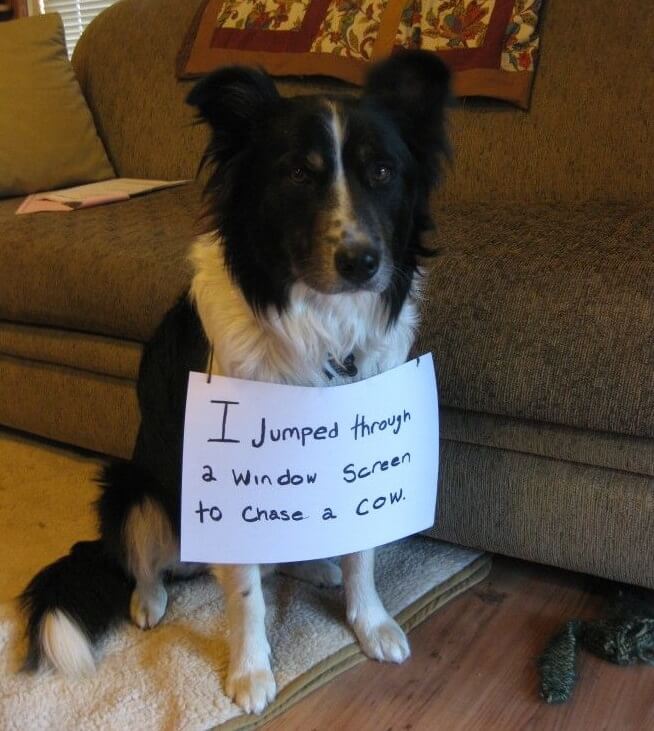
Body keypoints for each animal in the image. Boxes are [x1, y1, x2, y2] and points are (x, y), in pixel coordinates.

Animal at [19, 50, 452, 716]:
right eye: (298, 174)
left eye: (382, 171)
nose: (362, 262)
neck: (319, 329)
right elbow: (246, 593)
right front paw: (250, 673)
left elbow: (361, 553)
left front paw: (370, 622)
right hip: (131, 484)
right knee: (146, 560)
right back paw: (148, 601)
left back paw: (315, 569)